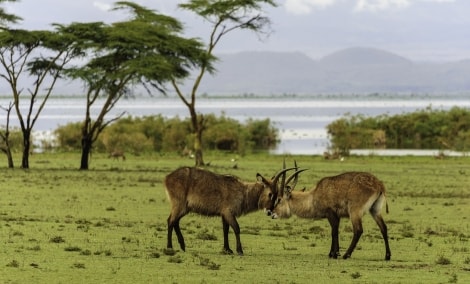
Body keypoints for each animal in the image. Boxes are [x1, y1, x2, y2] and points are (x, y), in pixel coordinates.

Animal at [162, 164, 294, 255]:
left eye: (277, 195)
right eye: (270, 194)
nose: (270, 211)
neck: (243, 191)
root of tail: (167, 177)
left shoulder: (224, 214)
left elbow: (225, 230)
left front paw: (227, 249)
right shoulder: (228, 212)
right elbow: (236, 228)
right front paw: (239, 250)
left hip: (185, 208)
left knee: (175, 221)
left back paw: (182, 246)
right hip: (180, 205)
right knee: (170, 221)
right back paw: (170, 247)